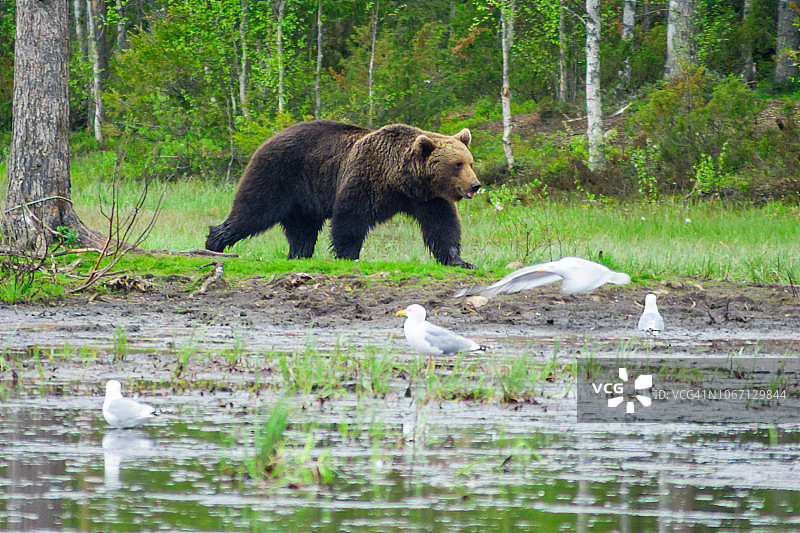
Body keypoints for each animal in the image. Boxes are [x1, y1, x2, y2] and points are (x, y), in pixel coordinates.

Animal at [208, 122, 482, 268]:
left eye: (470, 162)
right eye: (457, 164)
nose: (475, 185)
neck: (400, 182)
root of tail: (268, 139)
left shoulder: (428, 199)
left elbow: (443, 226)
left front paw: (460, 260)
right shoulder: (364, 179)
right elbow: (350, 219)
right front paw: (348, 255)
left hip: (304, 200)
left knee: (302, 230)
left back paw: (299, 254)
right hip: (276, 176)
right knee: (252, 212)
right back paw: (215, 242)